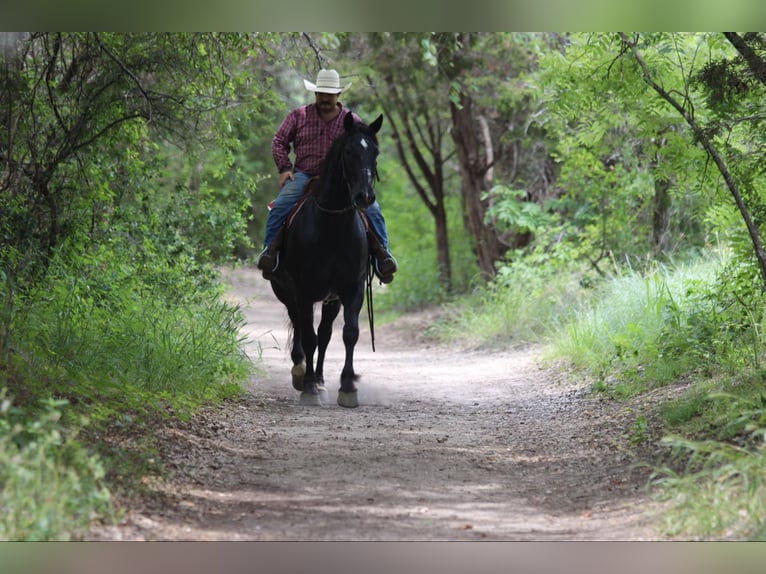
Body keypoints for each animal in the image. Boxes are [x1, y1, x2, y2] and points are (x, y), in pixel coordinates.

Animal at [272, 112, 384, 410]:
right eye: (348, 151)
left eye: (375, 152)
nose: (365, 196)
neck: (331, 226)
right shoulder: (303, 290)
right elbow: (308, 337)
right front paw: (309, 388)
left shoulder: (352, 288)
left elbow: (349, 333)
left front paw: (347, 388)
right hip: (288, 293)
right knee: (301, 329)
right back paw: (301, 374)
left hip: (330, 300)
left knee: (324, 334)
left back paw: (321, 379)